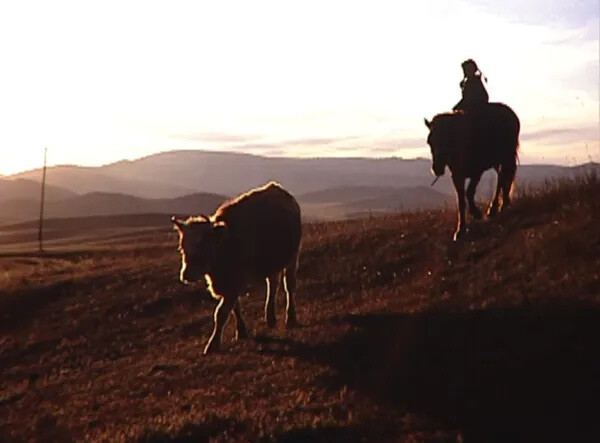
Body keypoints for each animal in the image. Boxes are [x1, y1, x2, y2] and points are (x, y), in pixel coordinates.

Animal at [171, 182, 302, 356]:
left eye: (205, 245)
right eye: (182, 247)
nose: (187, 274)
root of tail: (278, 188)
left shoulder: (233, 283)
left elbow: (220, 314)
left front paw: (212, 344)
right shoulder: (230, 284)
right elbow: (235, 308)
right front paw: (241, 332)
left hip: (292, 258)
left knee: (289, 286)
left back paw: (291, 318)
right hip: (271, 263)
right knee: (273, 284)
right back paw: (270, 317)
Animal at [424, 103, 516, 241]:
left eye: (447, 139)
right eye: (430, 141)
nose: (437, 168)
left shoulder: (477, 172)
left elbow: (469, 192)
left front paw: (476, 213)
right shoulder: (457, 176)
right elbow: (461, 200)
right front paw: (460, 230)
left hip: (506, 156)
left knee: (502, 178)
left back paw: (495, 208)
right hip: (498, 161)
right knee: (504, 177)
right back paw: (504, 203)